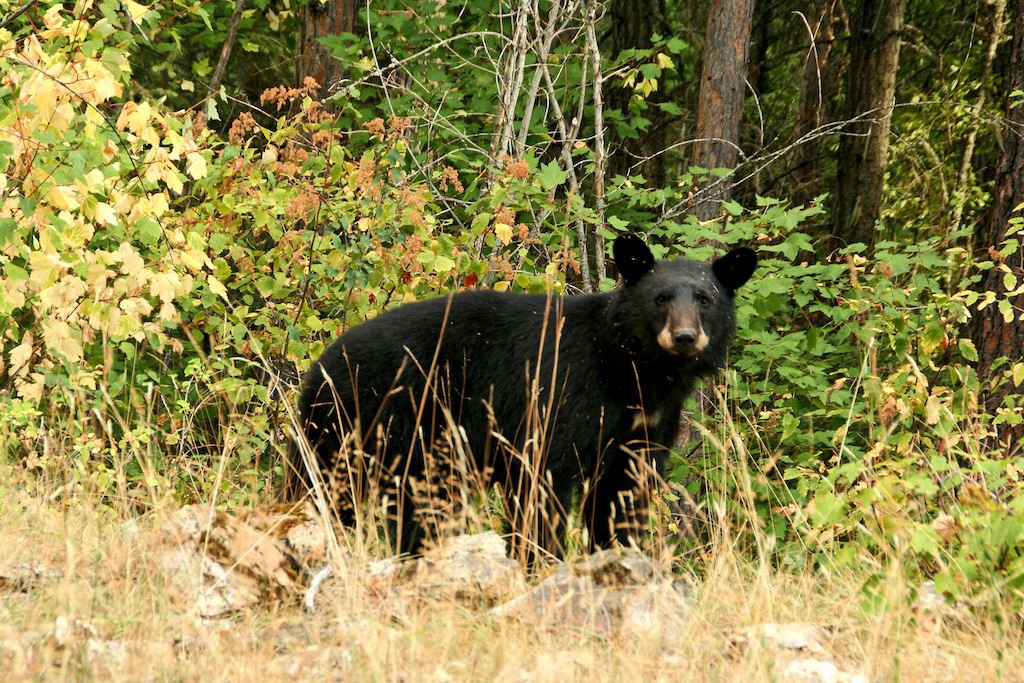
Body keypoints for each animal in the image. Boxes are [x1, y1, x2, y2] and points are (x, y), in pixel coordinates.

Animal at [286, 235, 753, 557]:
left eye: (705, 299)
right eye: (660, 298)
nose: (685, 336)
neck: (634, 370)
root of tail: (320, 365)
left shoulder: (645, 427)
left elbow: (622, 496)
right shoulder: (559, 398)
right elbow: (542, 486)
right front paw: (539, 560)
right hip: (363, 423)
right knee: (324, 489)